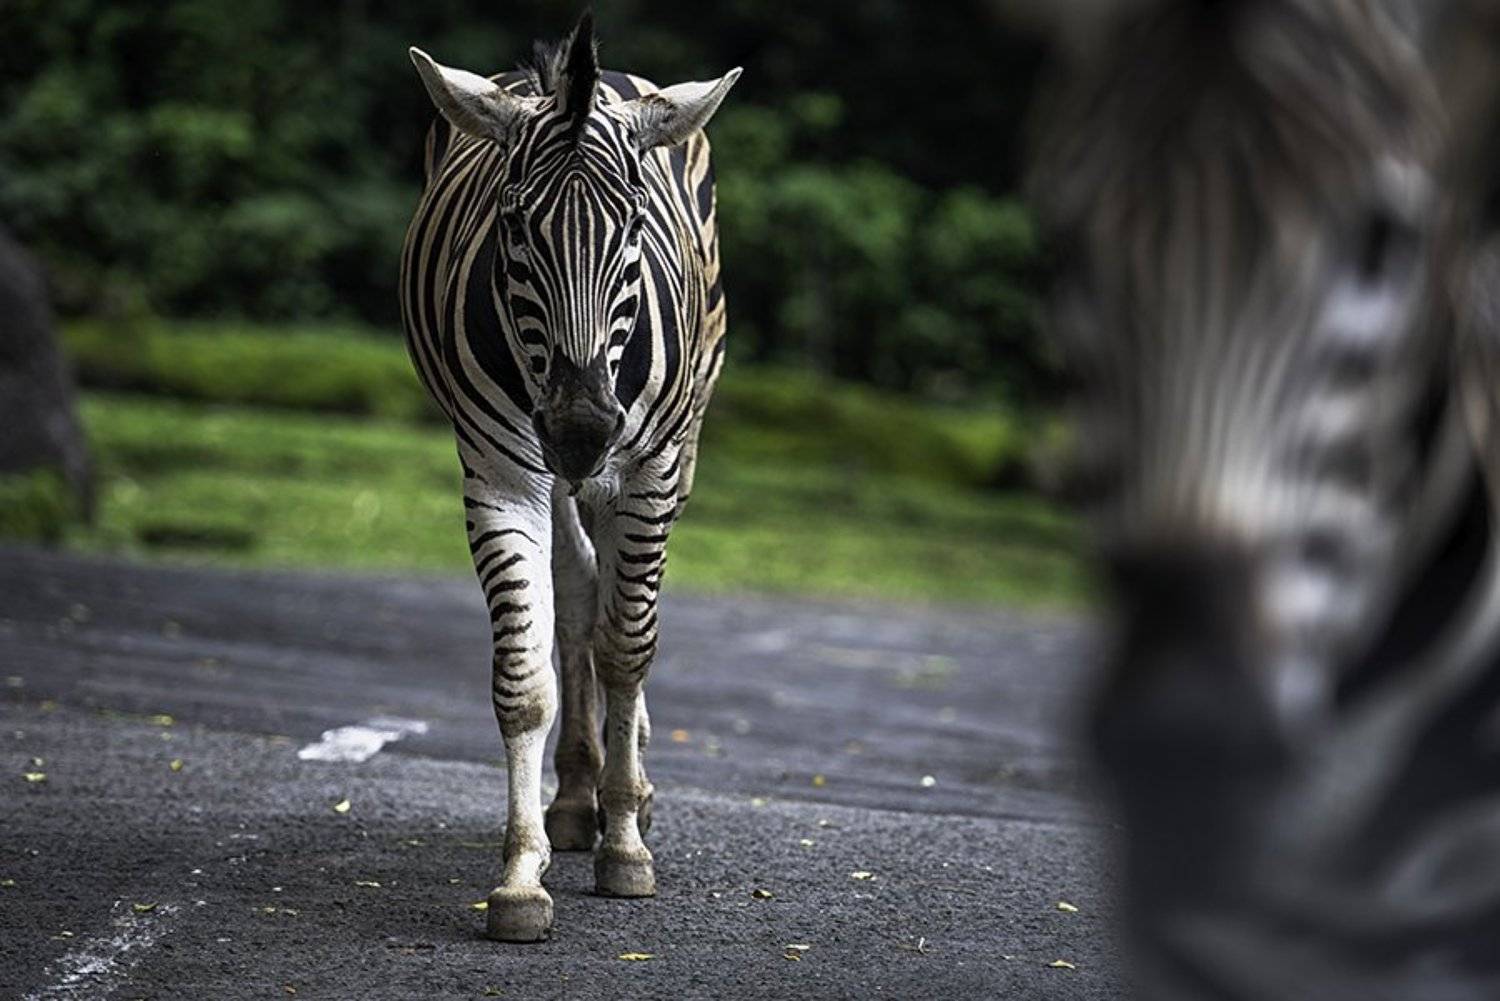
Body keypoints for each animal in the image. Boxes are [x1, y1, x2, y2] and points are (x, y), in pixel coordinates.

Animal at [398, 14, 739, 942]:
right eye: (515, 225)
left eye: (633, 225)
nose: (584, 426)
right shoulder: (501, 472)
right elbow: (527, 676)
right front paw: (522, 875)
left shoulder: (649, 471)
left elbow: (630, 646)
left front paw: (625, 842)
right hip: (557, 480)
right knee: (580, 593)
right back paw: (578, 794)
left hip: (676, 450)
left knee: (618, 610)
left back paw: (626, 787)